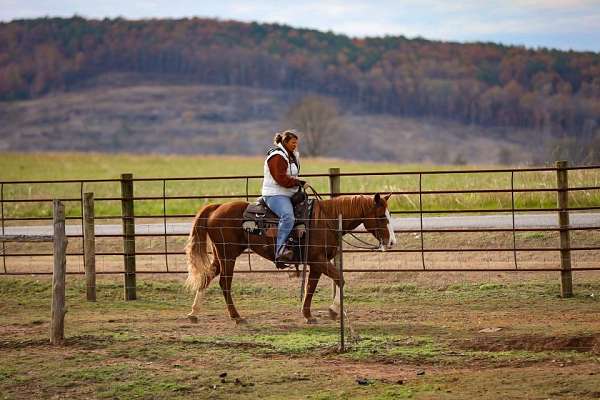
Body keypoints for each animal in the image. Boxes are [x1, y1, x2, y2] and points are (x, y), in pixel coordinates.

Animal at [185, 194, 396, 324]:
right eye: (380, 216)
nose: (392, 242)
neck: (326, 220)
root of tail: (217, 207)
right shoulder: (318, 260)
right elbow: (340, 279)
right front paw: (333, 310)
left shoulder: (316, 263)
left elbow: (310, 287)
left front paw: (308, 315)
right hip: (228, 256)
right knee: (224, 283)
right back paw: (237, 317)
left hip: (221, 255)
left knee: (207, 276)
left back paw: (194, 313)